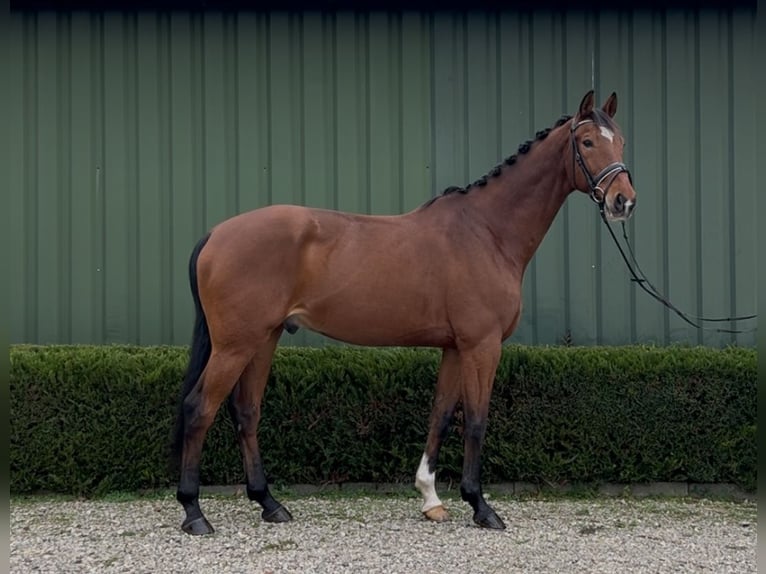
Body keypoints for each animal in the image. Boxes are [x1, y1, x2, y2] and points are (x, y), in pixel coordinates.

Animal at [172, 90, 636, 536]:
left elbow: (441, 416)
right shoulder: (481, 345)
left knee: (246, 413)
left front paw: (431, 499)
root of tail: (215, 234)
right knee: (200, 409)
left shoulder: (455, 348)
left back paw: (269, 503)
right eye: (587, 141)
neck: (487, 231)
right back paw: (194, 513)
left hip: (262, 339)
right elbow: (476, 421)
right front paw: (481, 506)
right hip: (235, 345)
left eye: (621, 141)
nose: (623, 202)